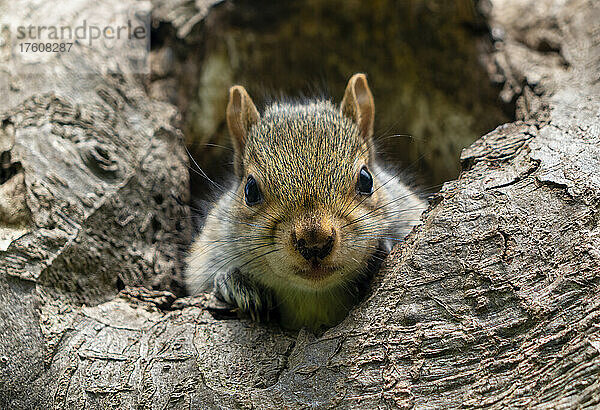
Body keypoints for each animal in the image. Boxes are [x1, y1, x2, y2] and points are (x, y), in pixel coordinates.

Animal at [185, 73, 424, 330]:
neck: (313, 295)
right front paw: (236, 284)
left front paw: (381, 251)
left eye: (366, 179)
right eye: (250, 190)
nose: (314, 242)